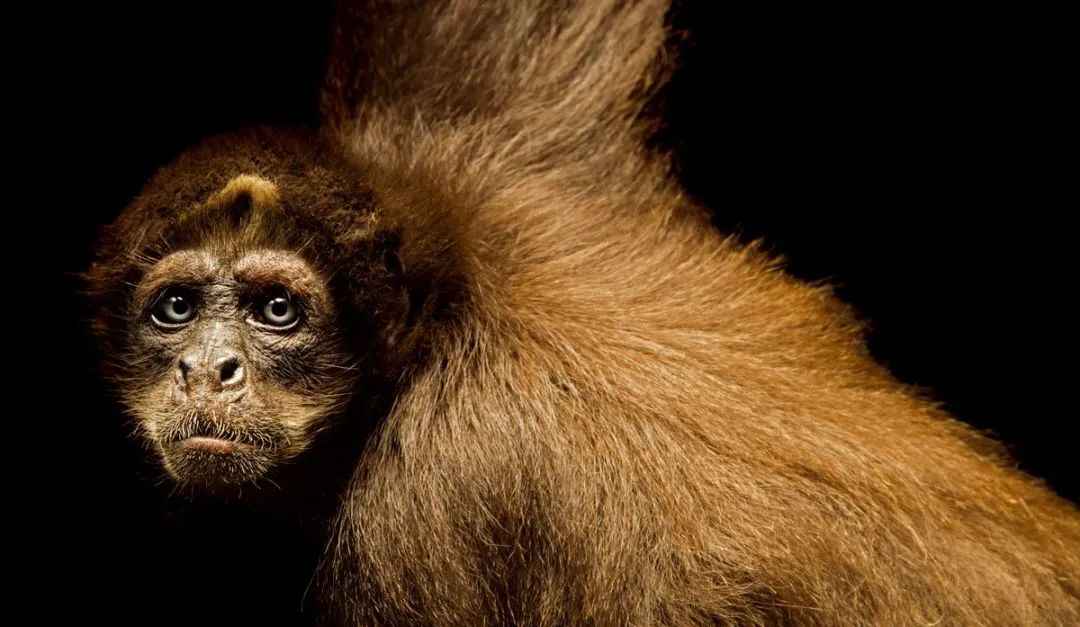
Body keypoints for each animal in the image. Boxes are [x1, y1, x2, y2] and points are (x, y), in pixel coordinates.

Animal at [84, 0, 1080, 625]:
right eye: (176, 307)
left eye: (278, 309)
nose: (208, 368)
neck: (452, 321)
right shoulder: (493, 145)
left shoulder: (428, 521)